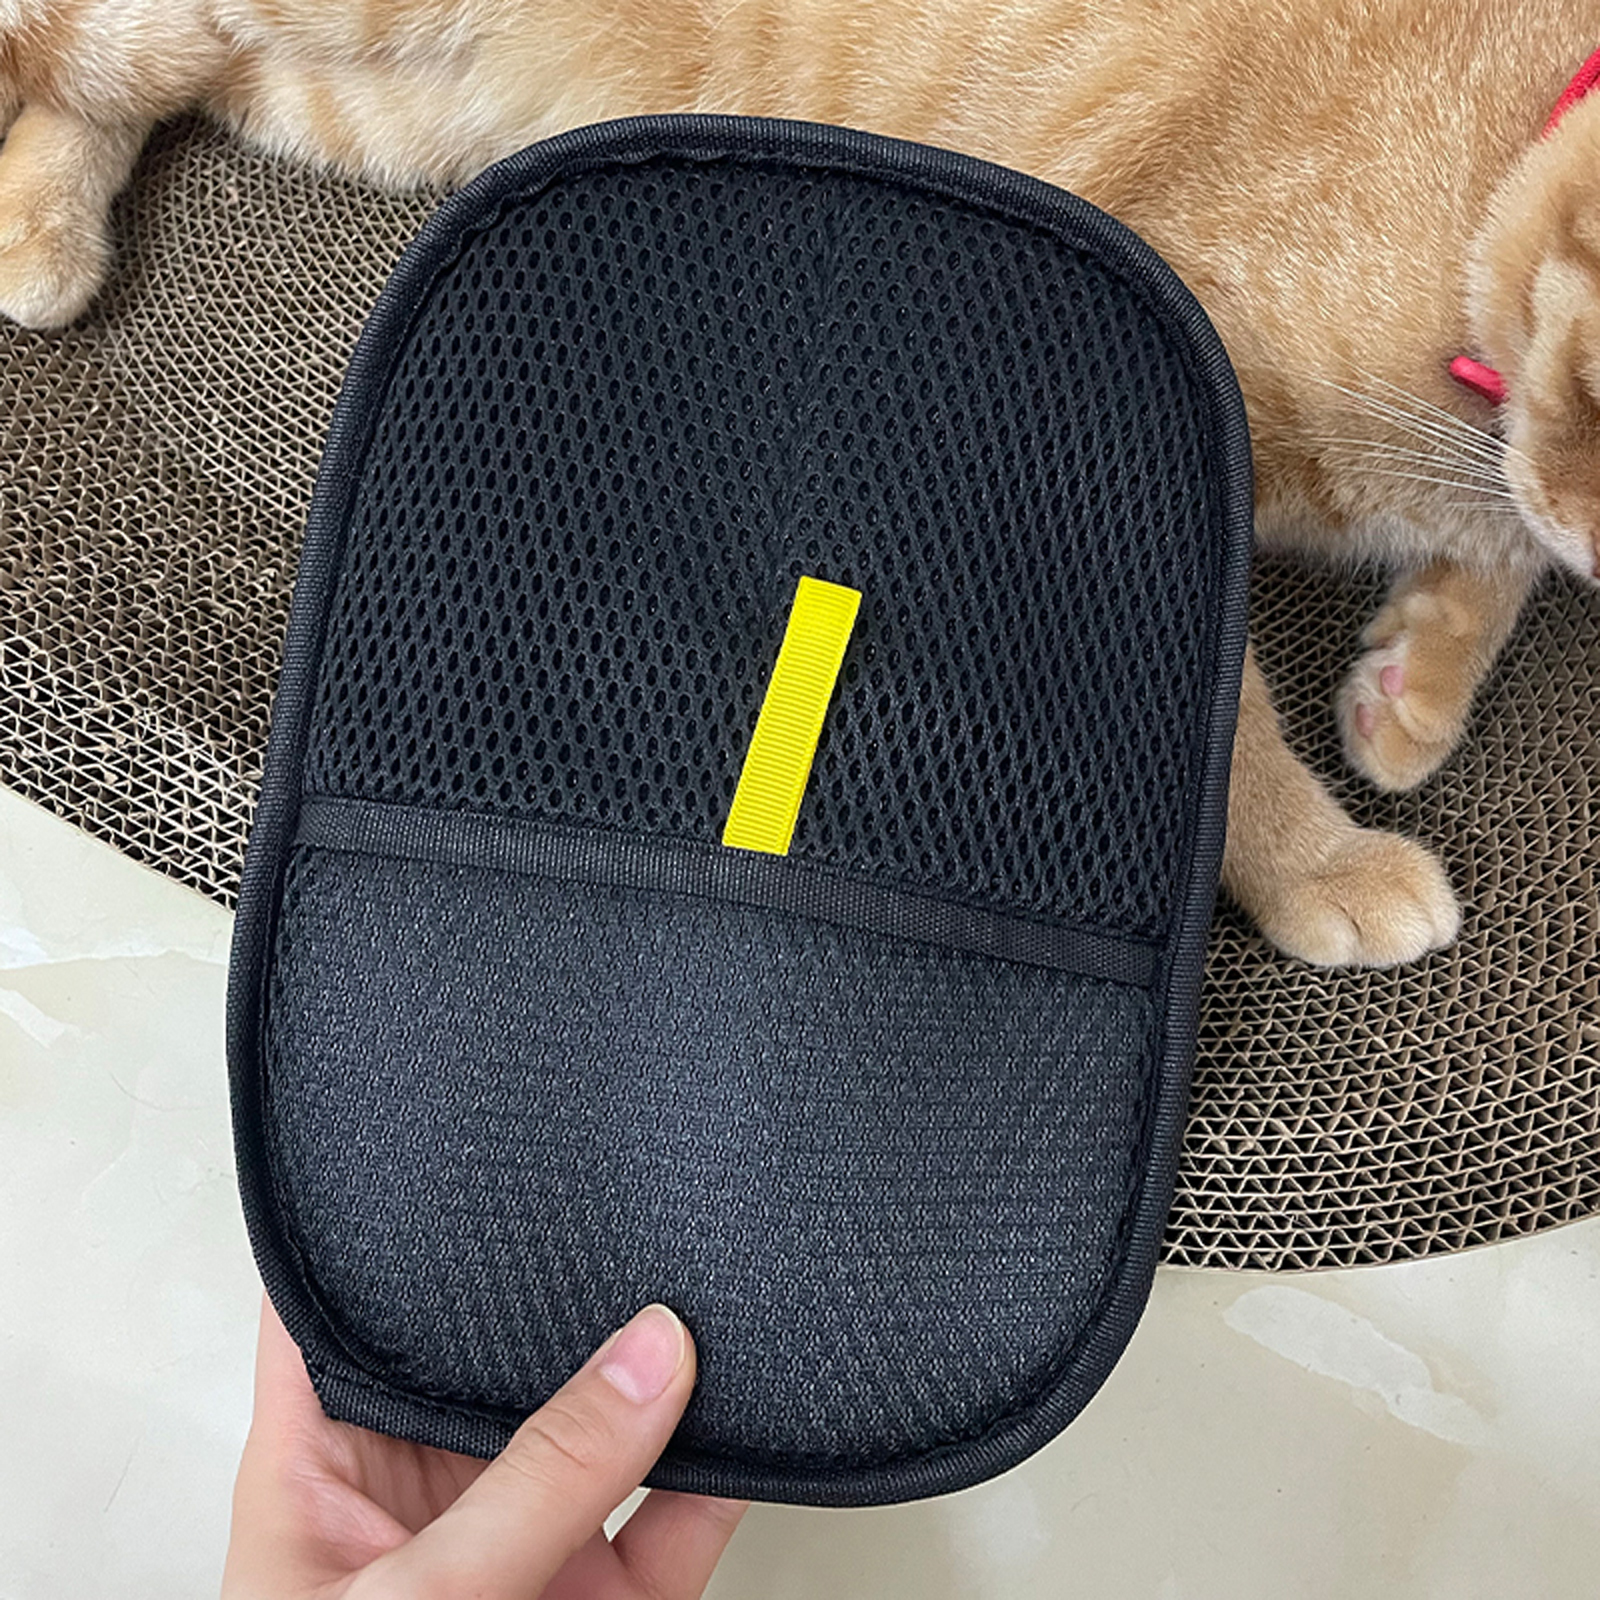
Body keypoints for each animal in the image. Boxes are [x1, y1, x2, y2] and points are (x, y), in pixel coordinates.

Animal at [2, 0, 1595, 968]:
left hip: (373, 109)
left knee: (138, 71)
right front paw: (1321, 864)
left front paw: (1414, 686)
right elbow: (1227, 728)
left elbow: (1499, 553)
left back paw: (40, 223)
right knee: (66, 37)